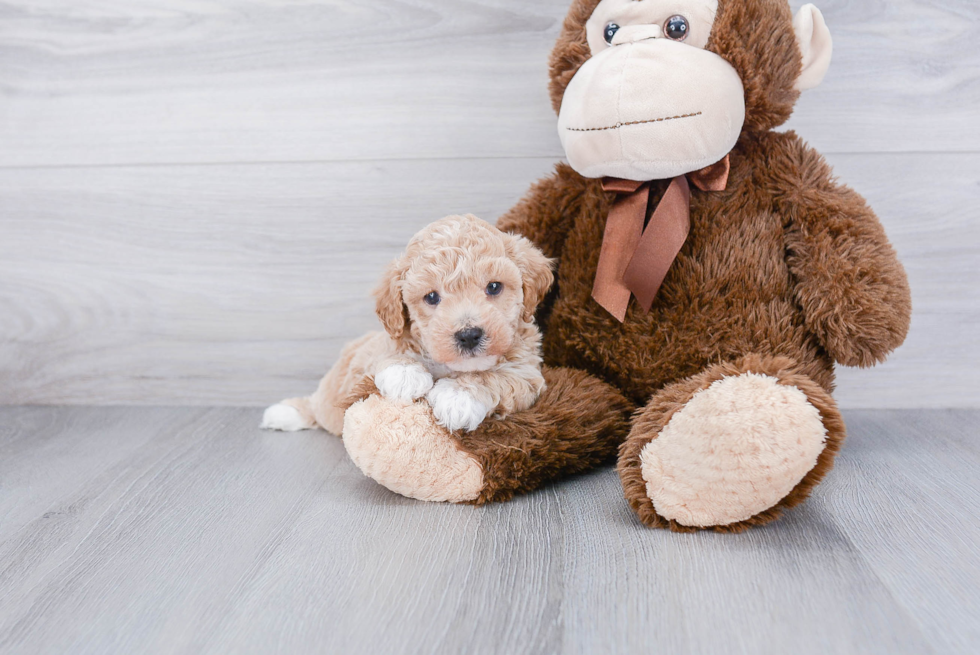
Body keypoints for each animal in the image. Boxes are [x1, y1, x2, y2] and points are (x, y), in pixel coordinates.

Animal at [262, 215, 552, 438]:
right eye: (432, 297)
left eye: (493, 287)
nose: (469, 335)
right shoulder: (374, 353)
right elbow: (386, 354)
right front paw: (404, 373)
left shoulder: (528, 373)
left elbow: (498, 377)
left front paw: (458, 396)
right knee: (317, 405)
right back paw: (285, 413)